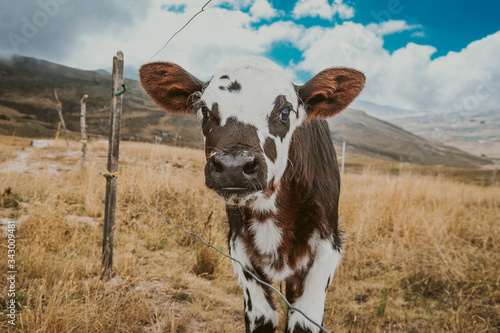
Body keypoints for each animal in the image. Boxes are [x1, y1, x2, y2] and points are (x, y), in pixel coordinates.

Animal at [139, 57, 366, 332]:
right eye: (205, 111)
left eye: (285, 112)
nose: (233, 166)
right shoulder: (240, 249)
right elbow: (262, 317)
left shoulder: (326, 250)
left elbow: (303, 323)